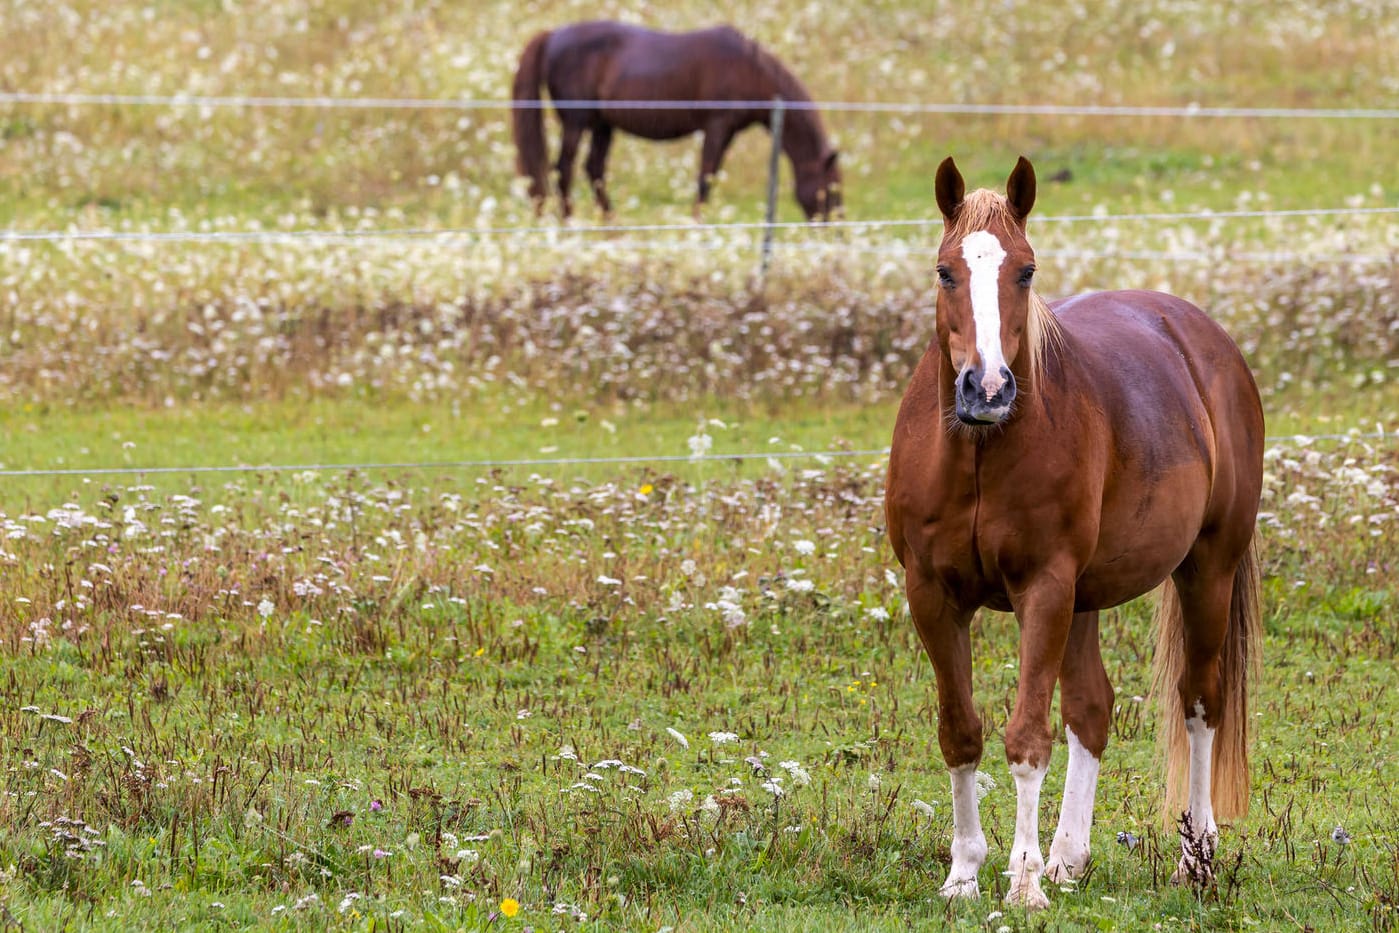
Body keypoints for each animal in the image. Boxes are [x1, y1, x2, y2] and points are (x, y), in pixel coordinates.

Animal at [514, 21, 839, 222]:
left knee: (593, 169)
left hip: (603, 126)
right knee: (563, 169)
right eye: (831, 188)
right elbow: (706, 177)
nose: (834, 226)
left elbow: (709, 176)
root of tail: (552, 35)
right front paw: (697, 223)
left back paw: (611, 225)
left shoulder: (728, 132)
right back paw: (570, 223)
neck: (749, 70)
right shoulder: (717, 127)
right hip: (576, 123)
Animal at [884, 156, 1270, 906]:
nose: (986, 388)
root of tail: (1205, 341)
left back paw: (1194, 860)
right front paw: (966, 872)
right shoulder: (932, 596)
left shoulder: (1043, 589)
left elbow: (1026, 737)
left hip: (1203, 570)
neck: (980, 452)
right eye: (945, 271)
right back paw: (1069, 857)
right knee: (1092, 709)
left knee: (1199, 702)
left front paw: (1023, 881)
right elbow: (961, 732)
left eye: (1025, 271)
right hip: (1084, 598)